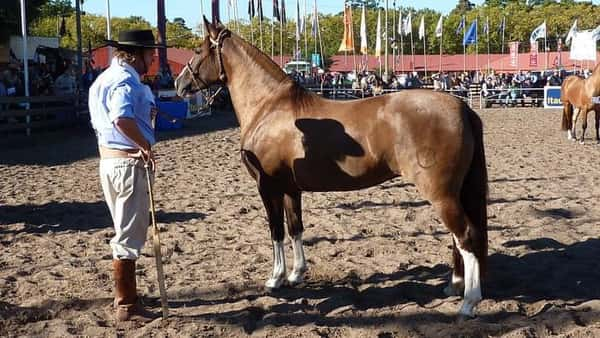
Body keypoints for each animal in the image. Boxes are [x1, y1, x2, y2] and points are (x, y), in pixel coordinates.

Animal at [175, 19, 488, 320]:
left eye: (198, 51)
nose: (179, 84)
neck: (269, 107)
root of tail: (461, 106)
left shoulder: (268, 186)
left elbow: (276, 230)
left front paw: (275, 278)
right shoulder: (290, 189)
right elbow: (295, 228)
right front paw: (296, 274)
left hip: (441, 194)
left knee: (465, 236)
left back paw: (469, 302)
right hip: (452, 194)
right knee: (458, 238)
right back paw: (454, 286)